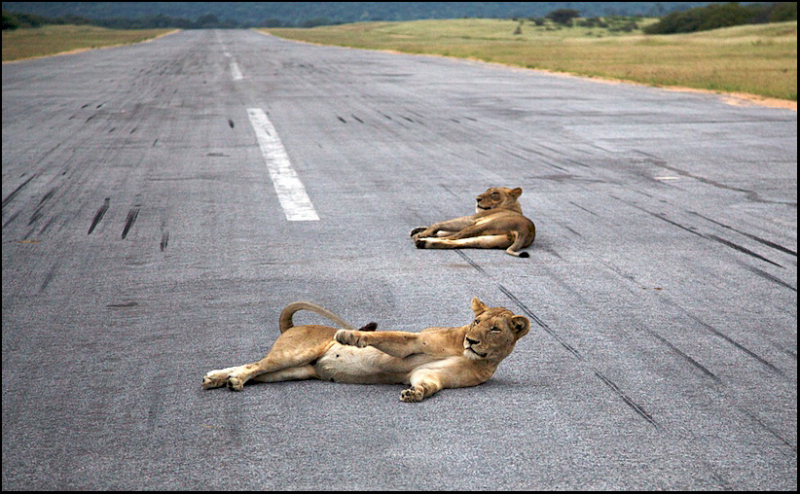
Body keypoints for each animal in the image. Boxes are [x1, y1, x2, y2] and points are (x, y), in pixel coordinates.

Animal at [202, 298, 532, 402]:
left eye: (495, 329)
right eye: (476, 321)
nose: (472, 341)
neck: (469, 355)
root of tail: (292, 326)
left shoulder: (431, 374)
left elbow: (427, 384)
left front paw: (415, 394)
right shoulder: (413, 343)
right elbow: (386, 336)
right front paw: (350, 336)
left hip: (294, 370)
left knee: (254, 368)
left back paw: (218, 378)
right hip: (294, 354)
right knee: (254, 365)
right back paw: (230, 380)